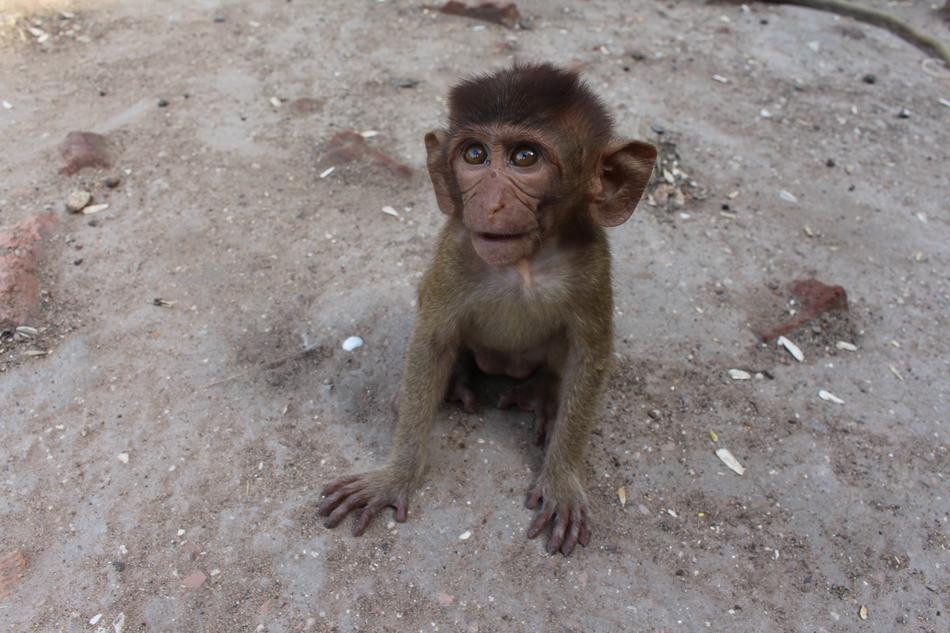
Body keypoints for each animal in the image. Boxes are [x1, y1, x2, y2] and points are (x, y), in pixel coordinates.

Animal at [318, 64, 656, 556]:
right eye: (475, 154)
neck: (524, 264)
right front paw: (396, 475)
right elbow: (432, 339)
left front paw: (561, 480)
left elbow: (590, 355)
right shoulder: (456, 250)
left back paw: (543, 394)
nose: (491, 202)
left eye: (525, 158)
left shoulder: (593, 264)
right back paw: (457, 380)